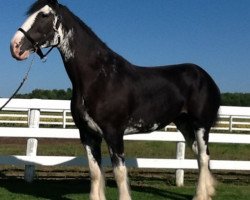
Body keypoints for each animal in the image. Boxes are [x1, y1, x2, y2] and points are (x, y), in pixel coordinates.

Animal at [10, 0, 220, 199]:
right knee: (199, 155)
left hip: (200, 125)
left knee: (203, 157)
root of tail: (205, 77)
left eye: (44, 15)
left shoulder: (114, 134)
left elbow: (119, 173)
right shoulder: (88, 135)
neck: (100, 78)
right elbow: (95, 172)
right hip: (184, 123)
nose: (15, 46)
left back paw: (201, 196)